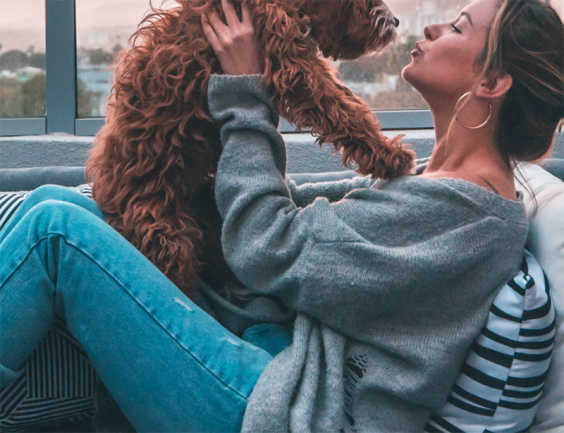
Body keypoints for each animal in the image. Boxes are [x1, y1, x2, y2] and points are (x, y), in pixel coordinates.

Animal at [86, 0, 416, 300]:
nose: (395, 21)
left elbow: (342, 100)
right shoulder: (291, 61)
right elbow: (340, 105)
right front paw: (389, 155)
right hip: (165, 232)